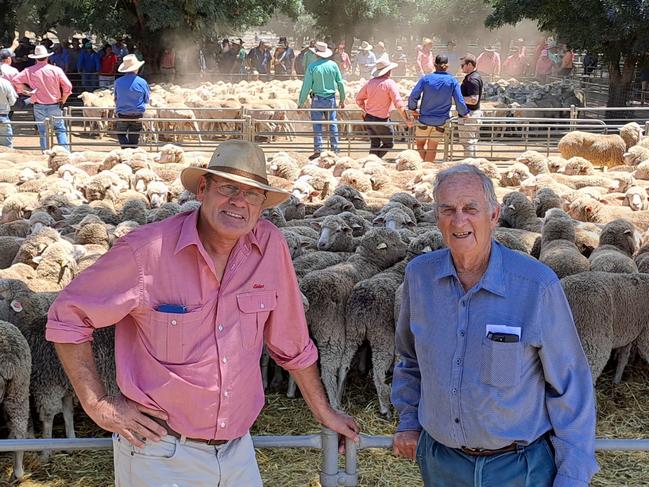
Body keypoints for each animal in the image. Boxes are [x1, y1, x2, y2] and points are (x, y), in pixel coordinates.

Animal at [298, 229, 404, 408]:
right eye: (395, 243)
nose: (406, 248)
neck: (367, 260)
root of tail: (309, 292)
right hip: (331, 330)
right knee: (328, 368)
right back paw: (335, 404)